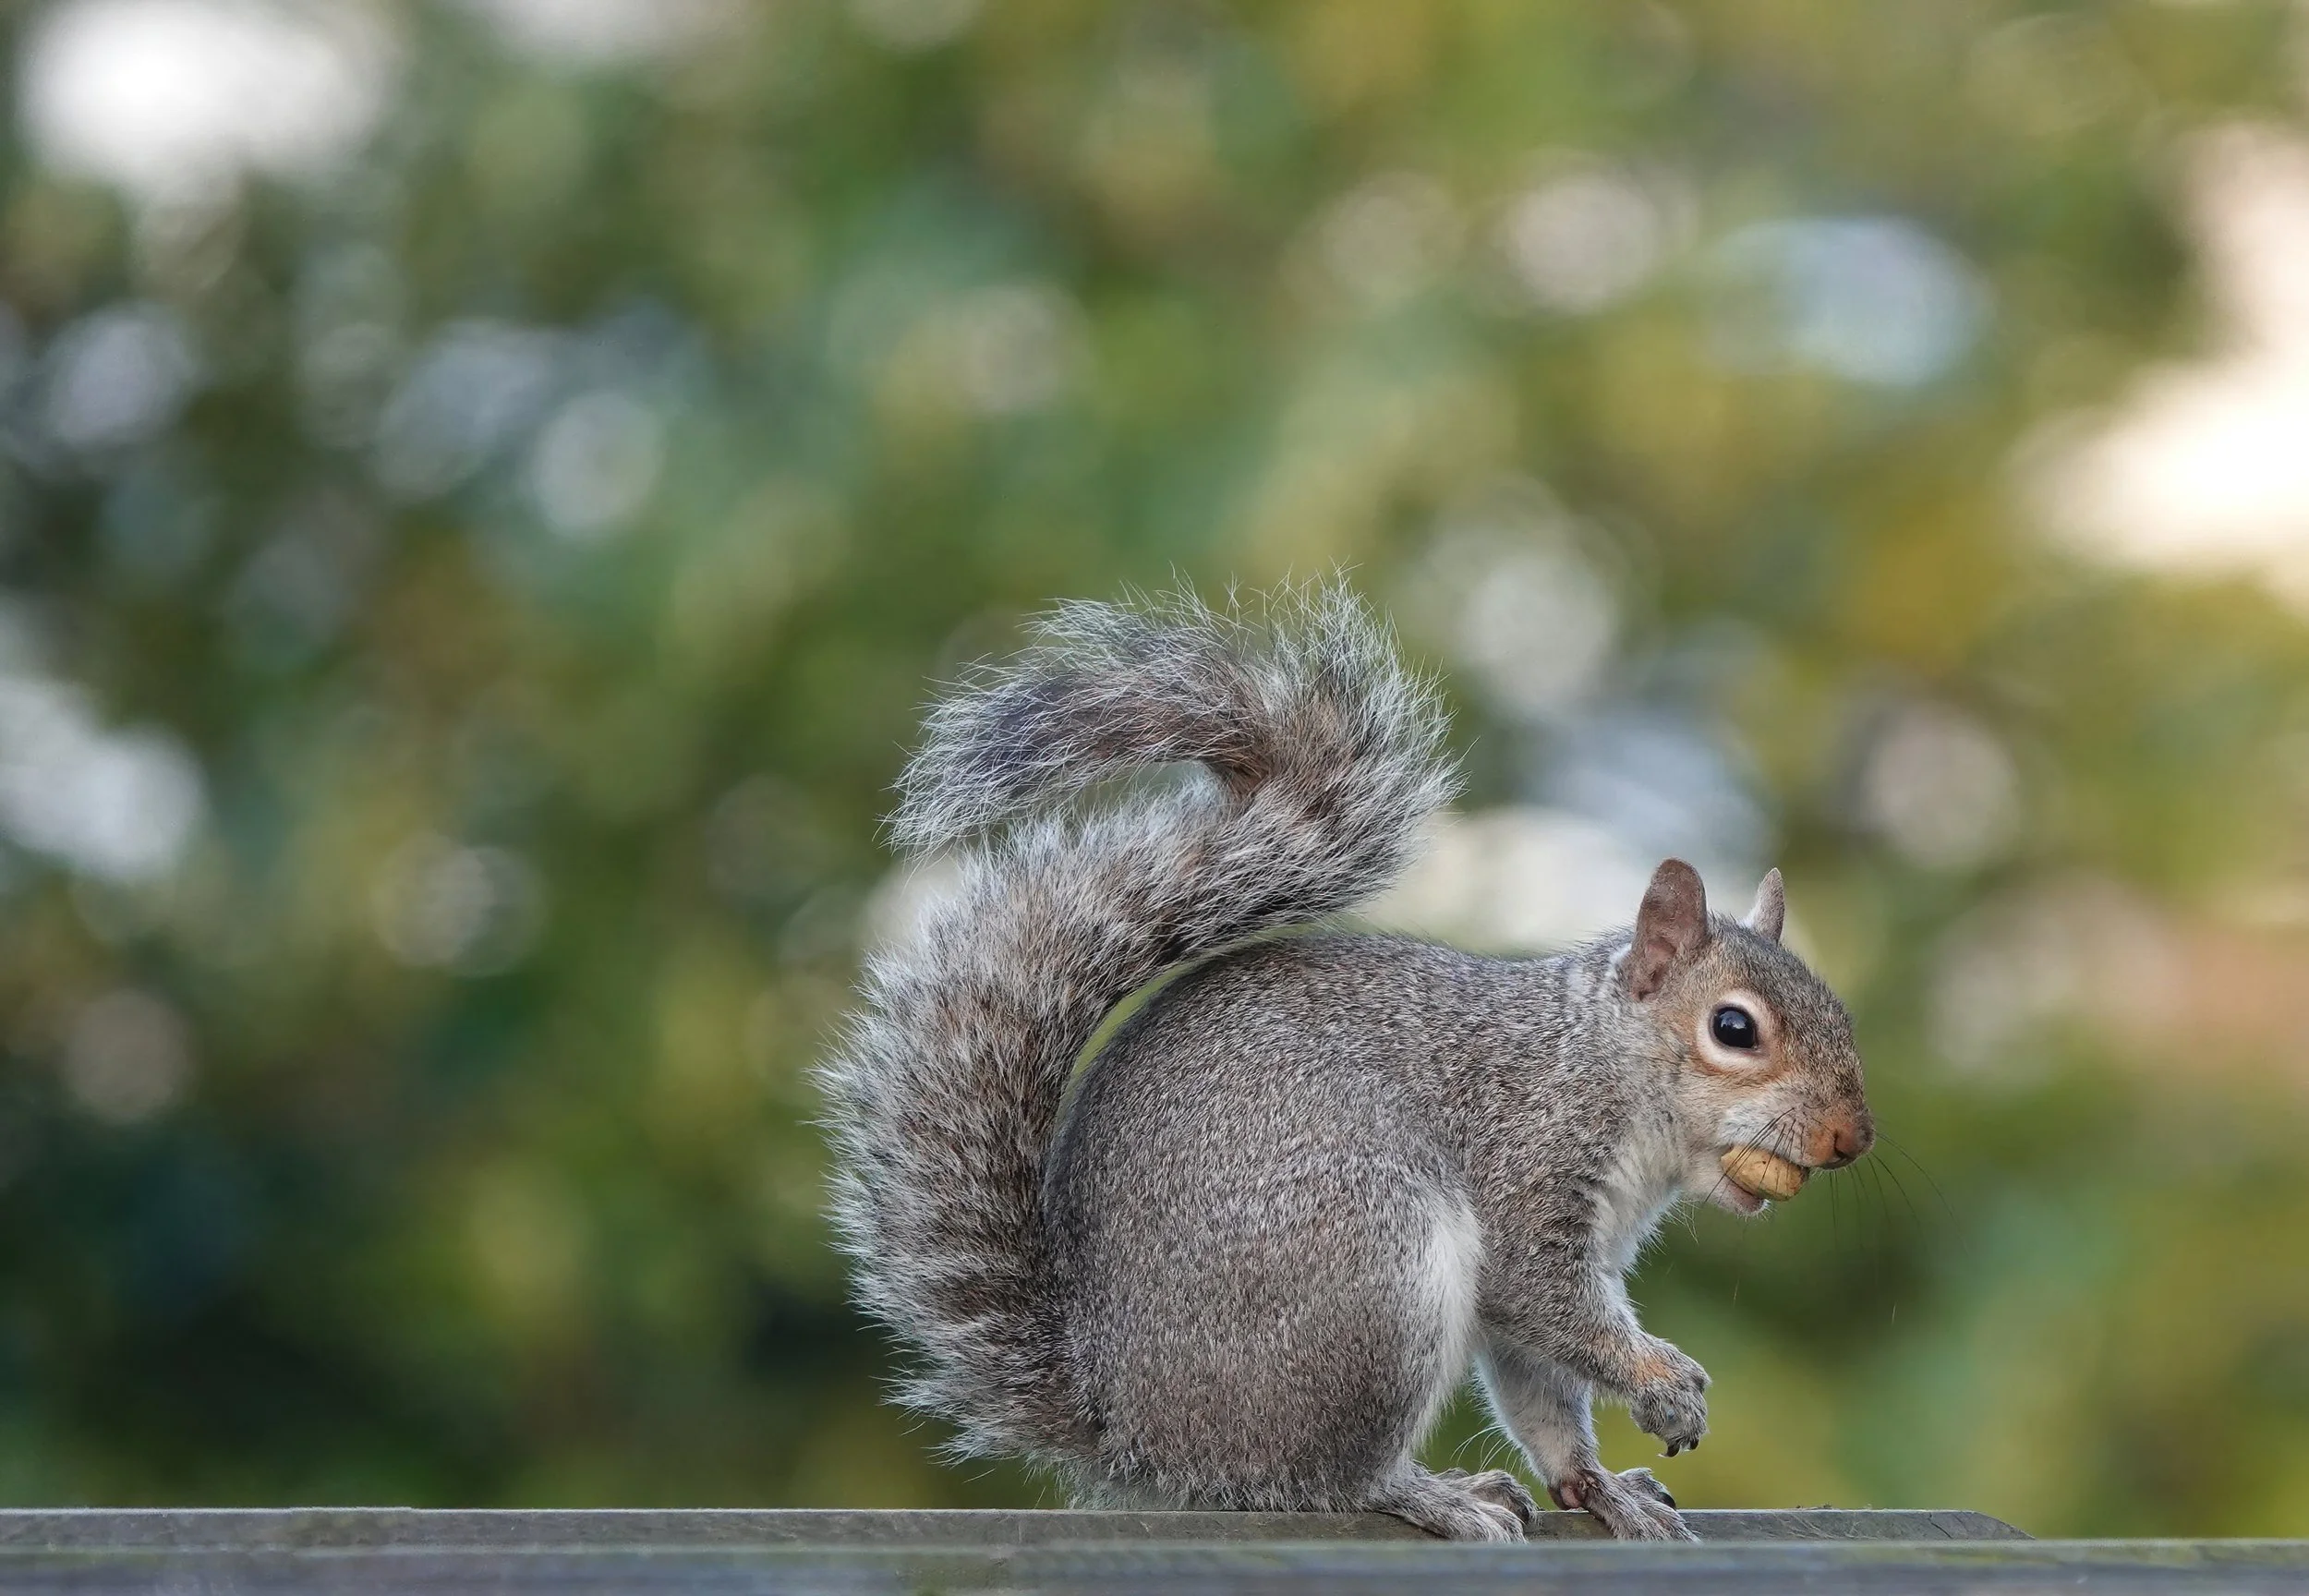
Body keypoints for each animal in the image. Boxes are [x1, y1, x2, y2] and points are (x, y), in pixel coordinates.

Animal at [818, 583, 1874, 1542]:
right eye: (1733, 1029)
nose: (1852, 1139)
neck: (1601, 1065)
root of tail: (1132, 1428)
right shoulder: (1527, 1164)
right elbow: (1548, 1305)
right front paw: (1664, 1381)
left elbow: (1542, 1384)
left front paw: (1600, 1486)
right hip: (1368, 1265)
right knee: (1320, 1478)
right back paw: (1428, 1494)